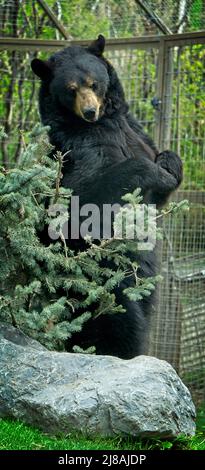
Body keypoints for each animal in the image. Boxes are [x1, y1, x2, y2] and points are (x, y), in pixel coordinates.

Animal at [31, 35, 182, 360]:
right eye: (70, 89)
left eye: (94, 83)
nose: (90, 111)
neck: (103, 122)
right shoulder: (77, 149)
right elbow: (84, 198)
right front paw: (155, 171)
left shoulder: (133, 130)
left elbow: (156, 180)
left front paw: (168, 165)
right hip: (101, 278)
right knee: (118, 315)